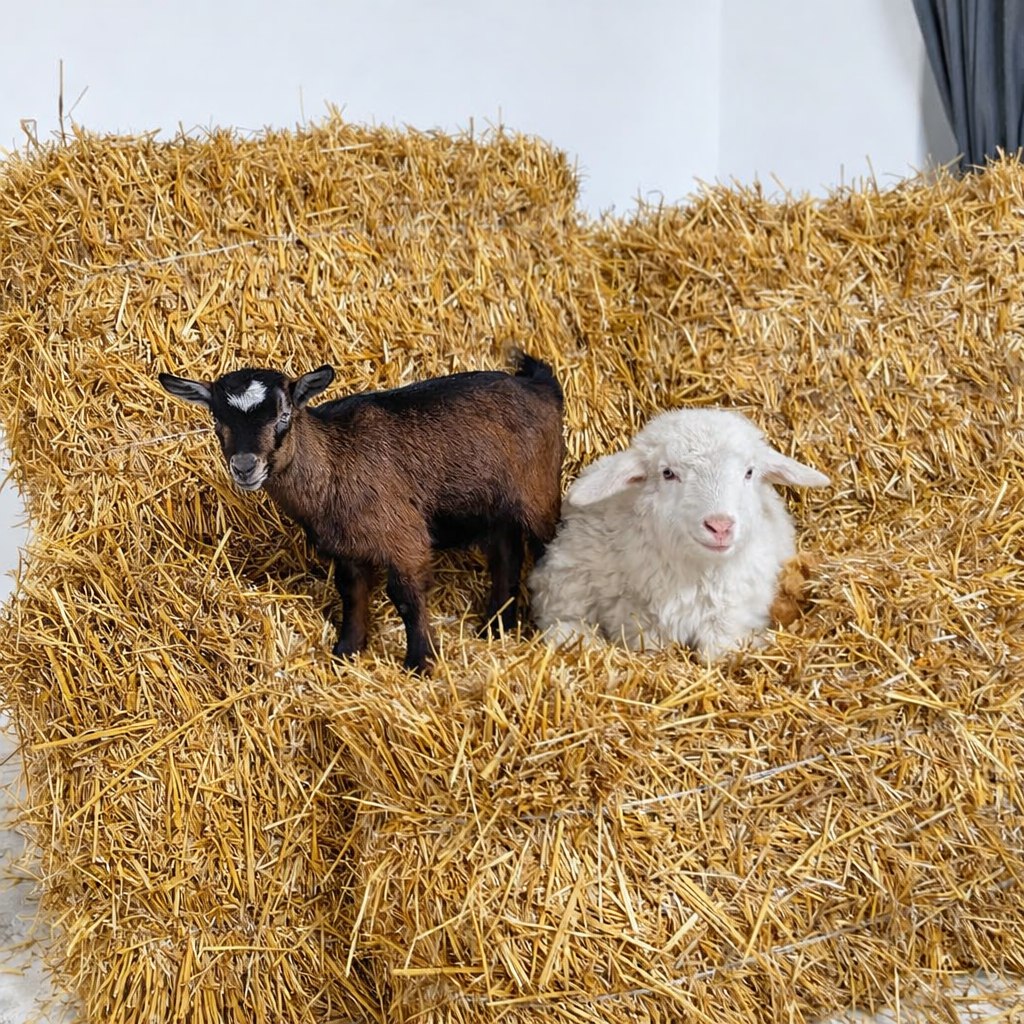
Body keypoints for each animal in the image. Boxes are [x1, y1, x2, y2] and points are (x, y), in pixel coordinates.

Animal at [159, 352, 564, 673]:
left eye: (284, 415)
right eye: (216, 420)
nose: (245, 467)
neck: (335, 461)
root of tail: (540, 388)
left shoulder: (405, 539)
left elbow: (406, 597)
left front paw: (420, 662)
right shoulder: (347, 550)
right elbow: (351, 593)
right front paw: (347, 651)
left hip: (539, 492)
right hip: (495, 507)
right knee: (507, 555)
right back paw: (497, 626)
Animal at [527, 408, 829, 660]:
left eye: (749, 472)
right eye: (668, 473)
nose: (720, 526)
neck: (699, 572)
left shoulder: (733, 615)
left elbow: (717, 652)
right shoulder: (641, 622)